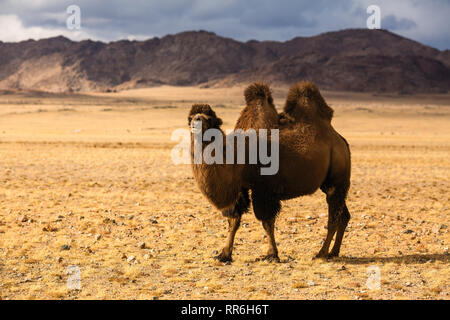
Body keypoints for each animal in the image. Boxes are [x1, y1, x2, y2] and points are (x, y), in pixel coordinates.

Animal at [186, 82, 352, 262]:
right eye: (190, 117)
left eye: (209, 119)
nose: (197, 121)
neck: (236, 158)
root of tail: (341, 141)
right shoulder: (241, 189)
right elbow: (234, 220)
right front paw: (224, 254)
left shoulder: (264, 189)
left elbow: (266, 221)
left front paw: (271, 254)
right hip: (332, 184)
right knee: (344, 215)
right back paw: (334, 252)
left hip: (336, 180)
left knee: (334, 216)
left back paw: (321, 253)